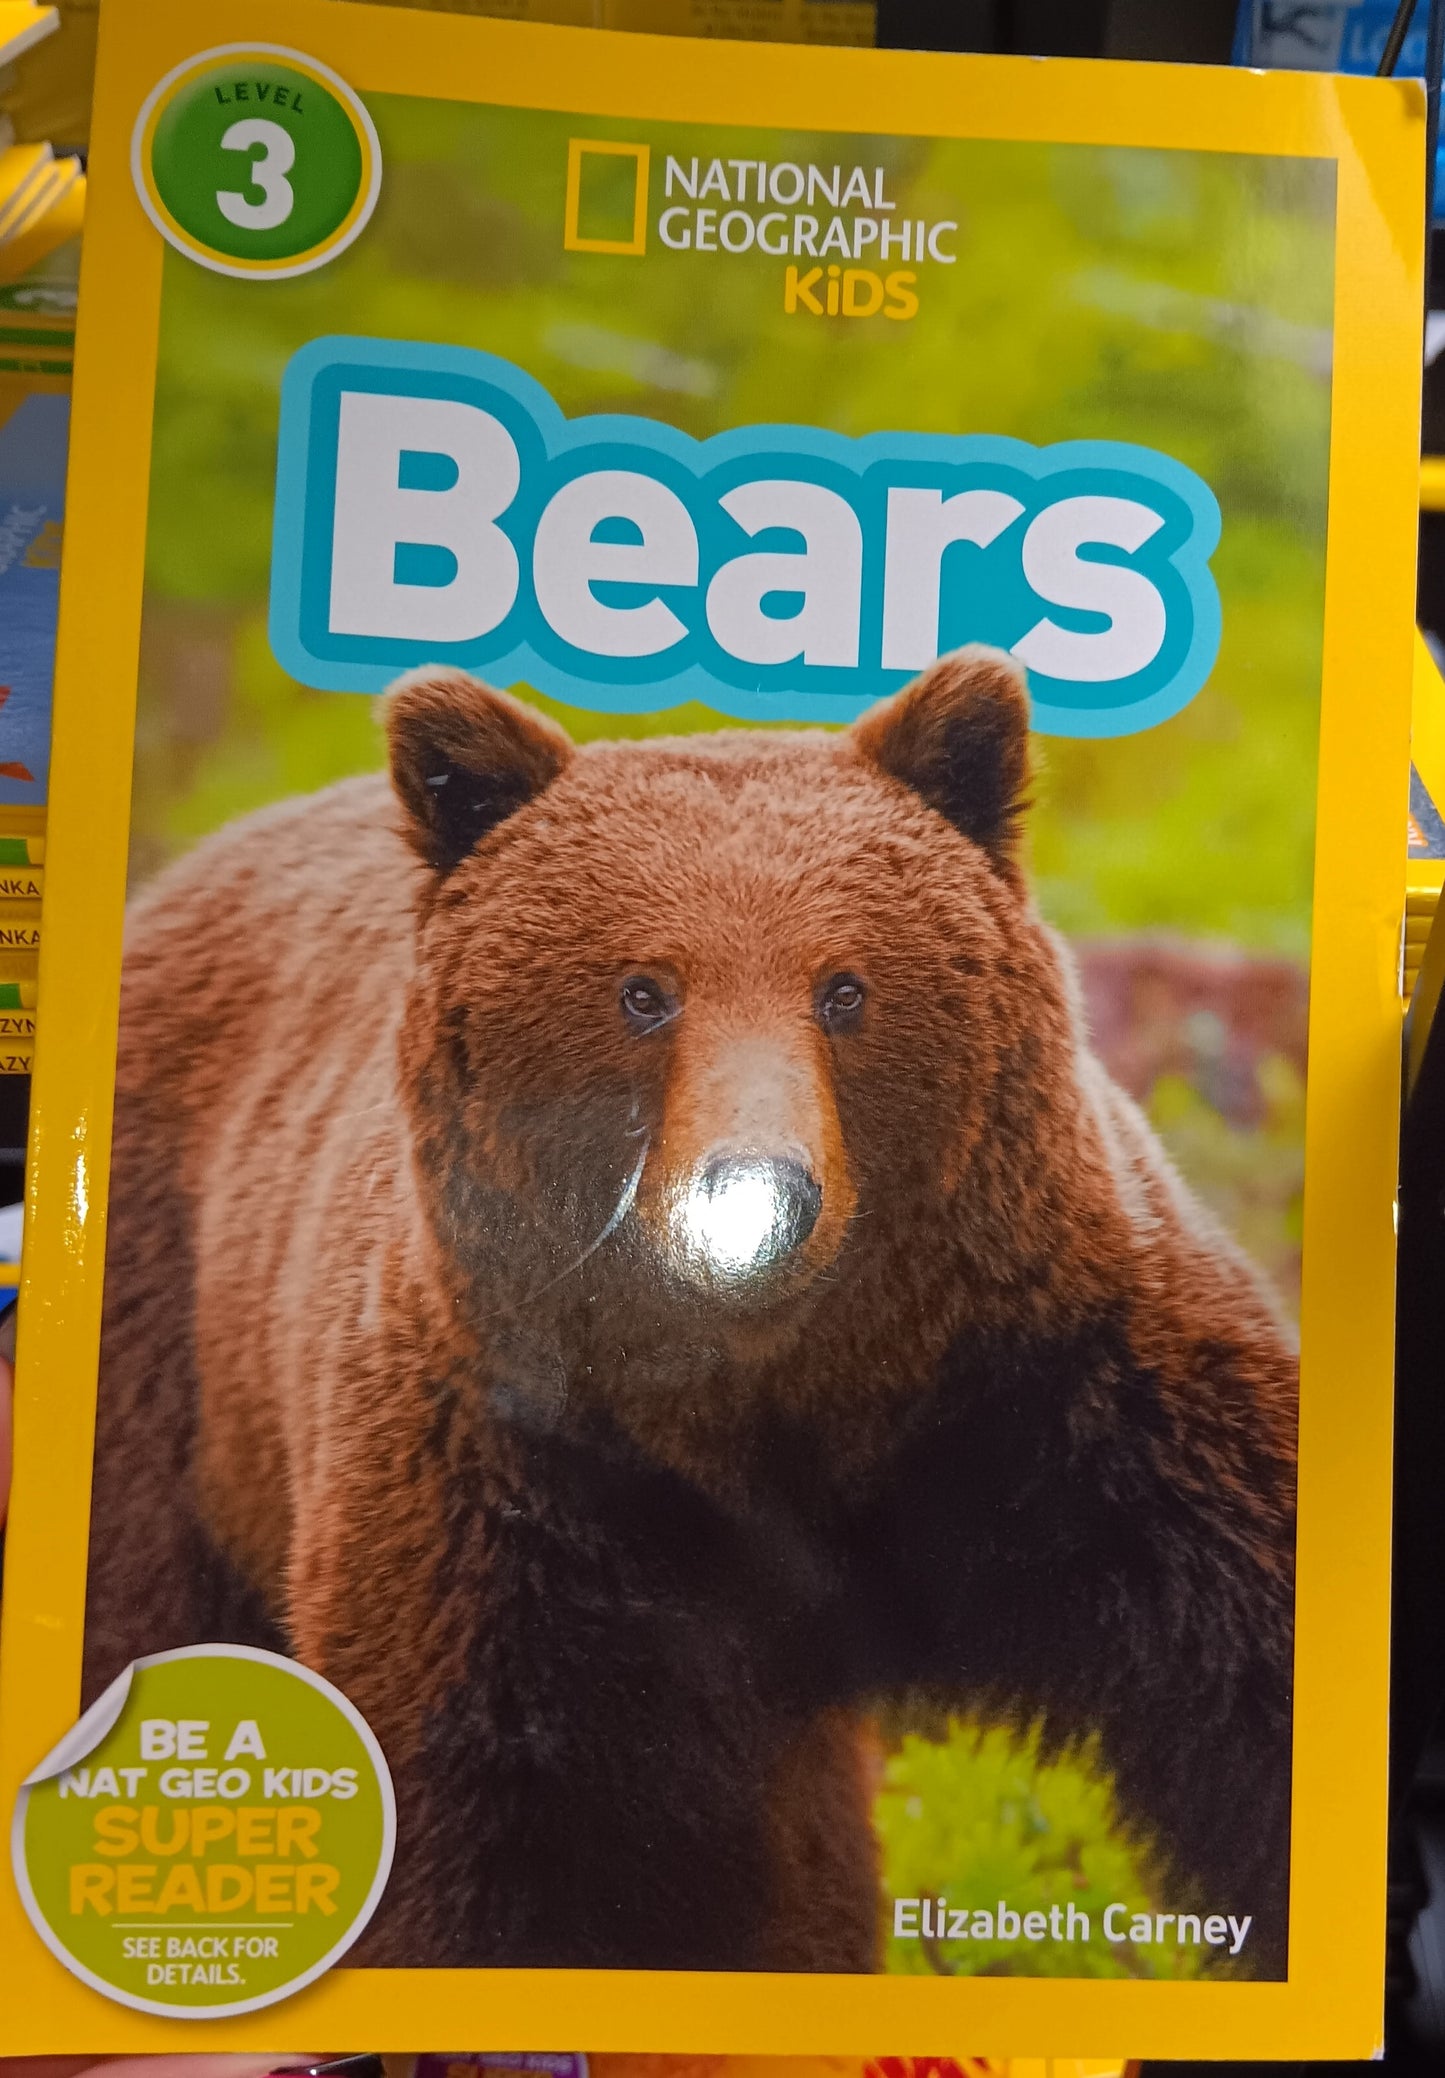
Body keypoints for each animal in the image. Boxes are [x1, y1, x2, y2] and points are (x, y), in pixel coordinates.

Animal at [82, 645, 1298, 1978]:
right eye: (642, 990)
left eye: (844, 988)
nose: (758, 1189)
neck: (781, 1400)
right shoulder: (517, 1491)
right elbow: (473, 1838)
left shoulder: (1071, 1395)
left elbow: (1257, 1658)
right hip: (164, 1359)